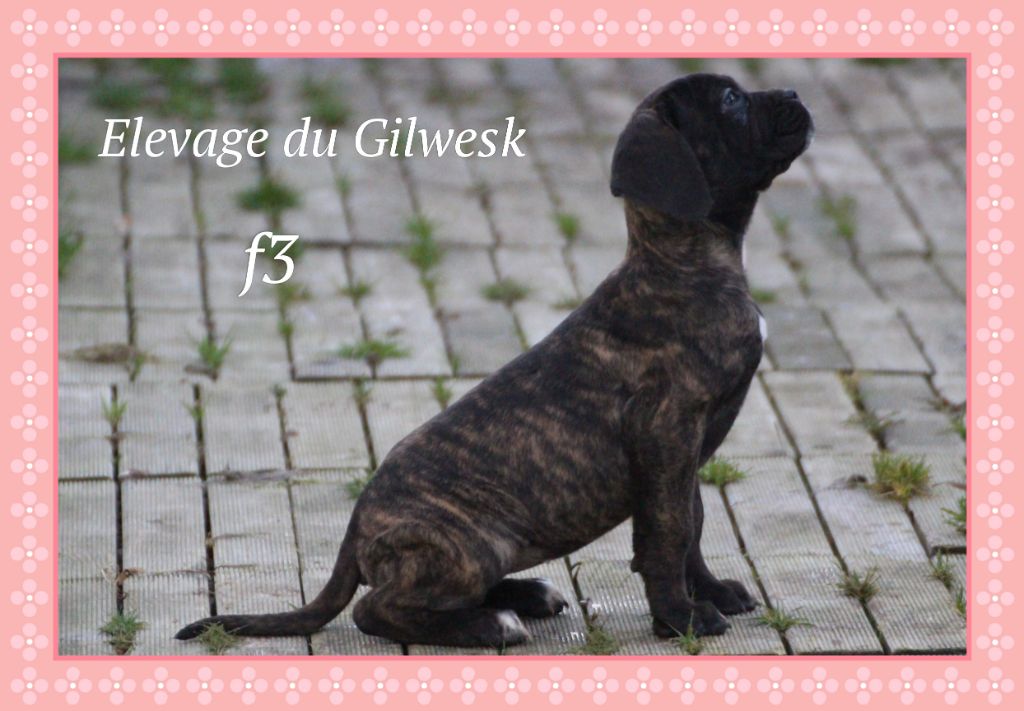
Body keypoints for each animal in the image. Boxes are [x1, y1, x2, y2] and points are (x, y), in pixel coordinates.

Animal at [177, 74, 813, 648]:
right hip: (474, 542)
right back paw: (489, 625)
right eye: (730, 99)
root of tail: (355, 532)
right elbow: (669, 532)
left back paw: (526, 595)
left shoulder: (683, 449)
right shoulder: (667, 432)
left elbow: (693, 521)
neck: (683, 263)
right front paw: (681, 618)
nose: (796, 94)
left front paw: (709, 592)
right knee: (375, 609)